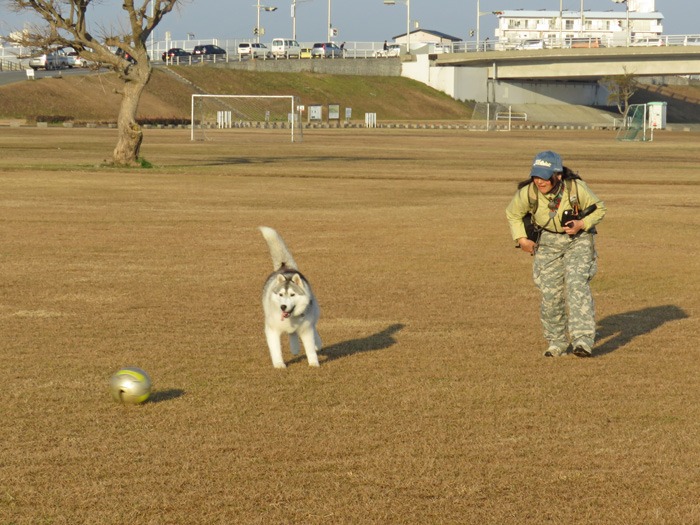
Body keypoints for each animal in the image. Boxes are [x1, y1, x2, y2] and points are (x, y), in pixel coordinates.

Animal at [258, 226, 322, 368]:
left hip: (313, 312)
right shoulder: (272, 329)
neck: (290, 318)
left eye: (292, 294)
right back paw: (295, 348)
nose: (283, 306)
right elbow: (276, 348)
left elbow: (310, 347)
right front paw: (279, 364)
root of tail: (285, 267)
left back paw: (317, 343)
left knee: (314, 328)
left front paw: (313, 363)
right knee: (292, 334)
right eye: (281, 294)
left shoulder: (306, 329)